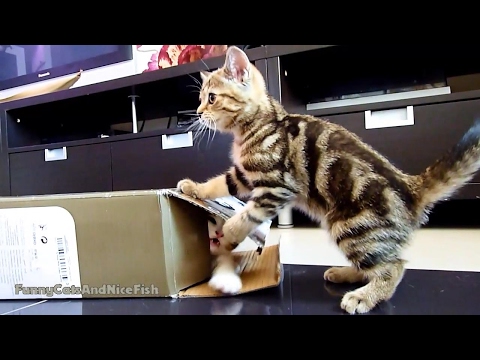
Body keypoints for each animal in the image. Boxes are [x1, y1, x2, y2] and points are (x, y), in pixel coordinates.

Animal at [177, 45, 480, 316]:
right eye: (201, 99)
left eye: (211, 98)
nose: (198, 113)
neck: (261, 125)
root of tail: (410, 185)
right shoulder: (243, 175)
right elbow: (220, 183)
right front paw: (194, 188)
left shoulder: (277, 186)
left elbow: (248, 215)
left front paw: (229, 234)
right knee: (375, 264)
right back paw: (345, 274)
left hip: (351, 226)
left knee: (393, 266)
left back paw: (364, 296)